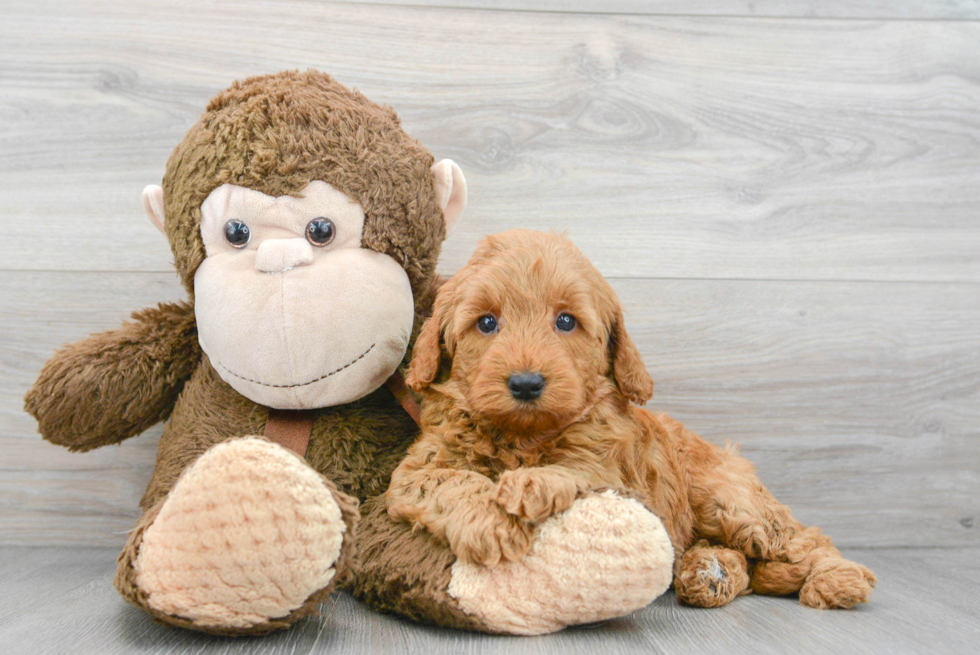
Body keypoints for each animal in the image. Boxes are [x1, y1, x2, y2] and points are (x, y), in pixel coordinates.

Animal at [386, 229, 876, 608]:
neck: (522, 437)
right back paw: (711, 572)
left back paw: (837, 579)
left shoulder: (620, 477)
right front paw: (491, 521)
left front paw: (533, 482)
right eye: (486, 323)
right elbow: (452, 480)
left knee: (801, 539)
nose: (525, 384)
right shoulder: (417, 470)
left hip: (729, 500)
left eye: (566, 321)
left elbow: (579, 469)